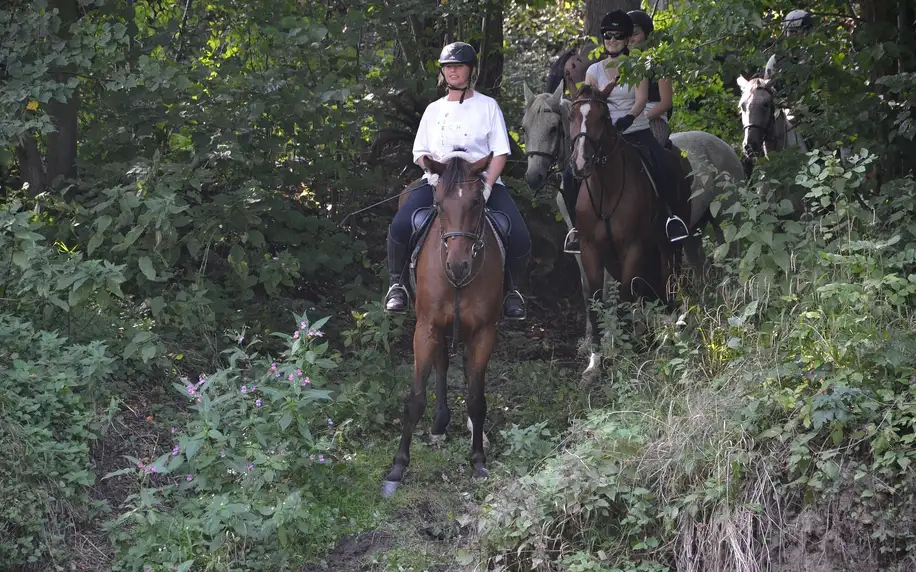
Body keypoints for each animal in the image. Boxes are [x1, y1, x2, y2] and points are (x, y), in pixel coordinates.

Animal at [382, 152, 504, 496]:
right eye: (438, 204)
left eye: (477, 202)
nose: (458, 265)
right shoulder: (426, 328)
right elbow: (415, 399)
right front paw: (397, 468)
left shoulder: (484, 333)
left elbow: (476, 399)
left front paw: (478, 460)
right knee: (441, 365)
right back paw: (439, 424)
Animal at [568, 84, 692, 380]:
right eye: (570, 116)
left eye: (603, 117)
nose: (580, 163)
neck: (606, 190)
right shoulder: (590, 249)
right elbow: (596, 300)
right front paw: (595, 362)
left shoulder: (633, 247)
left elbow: (625, 296)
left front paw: (624, 354)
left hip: (670, 244)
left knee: (669, 282)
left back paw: (668, 332)